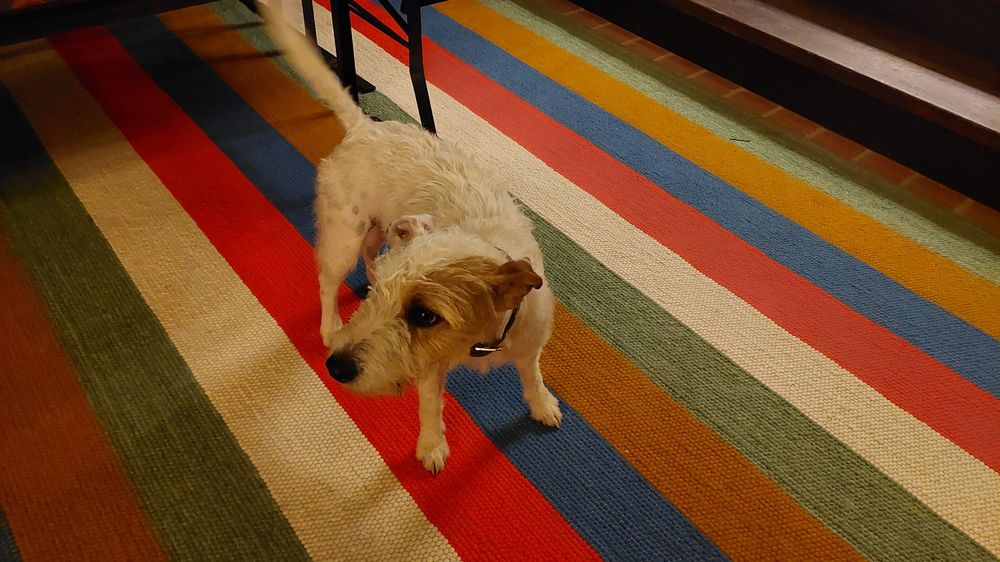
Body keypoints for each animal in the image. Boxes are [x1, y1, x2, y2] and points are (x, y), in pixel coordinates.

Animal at [262, 1, 562, 473]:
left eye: (424, 315)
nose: (335, 368)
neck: (482, 342)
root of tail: (363, 125)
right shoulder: (430, 368)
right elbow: (429, 406)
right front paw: (432, 447)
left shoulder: (529, 344)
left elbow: (532, 375)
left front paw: (542, 405)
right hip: (344, 235)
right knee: (327, 280)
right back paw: (330, 324)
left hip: (377, 229)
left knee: (372, 253)